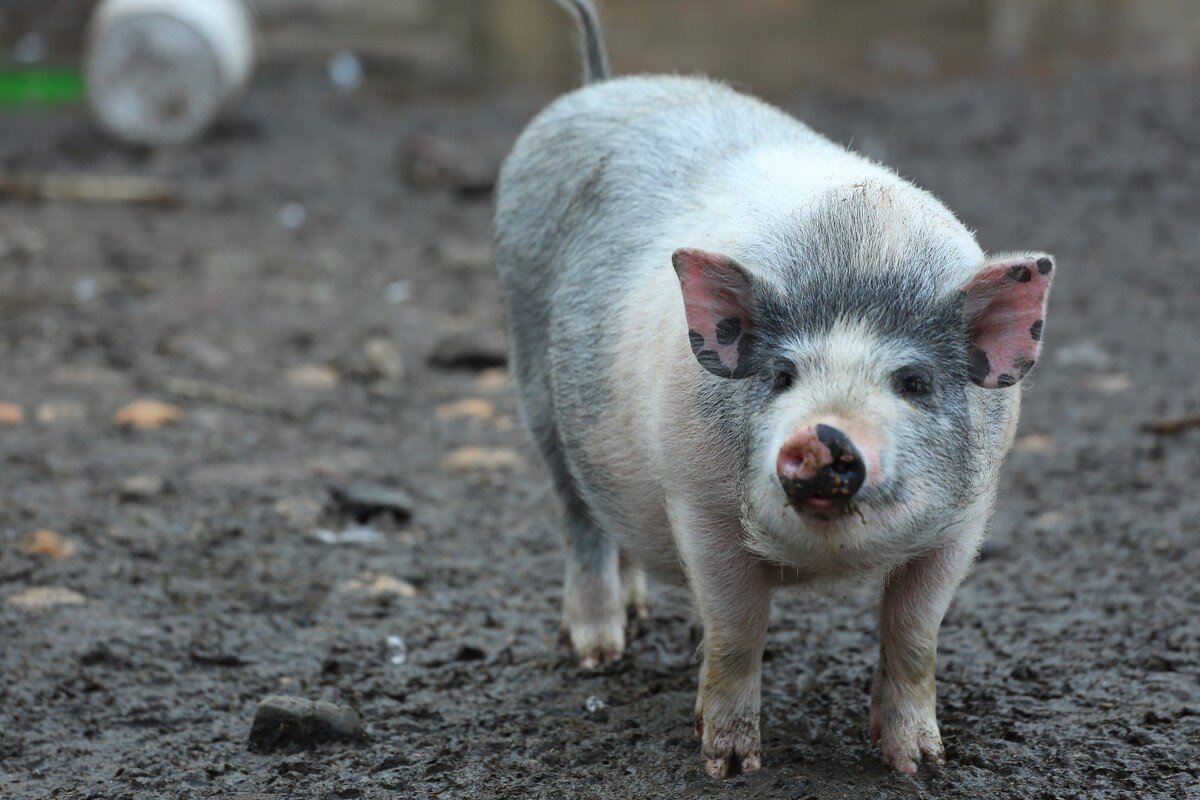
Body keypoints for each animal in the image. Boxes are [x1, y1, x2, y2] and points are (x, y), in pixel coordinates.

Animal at [492, 0, 1056, 777]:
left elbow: (914, 633)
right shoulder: (698, 504)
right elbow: (736, 631)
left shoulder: (967, 517)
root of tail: (599, 85)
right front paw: (729, 767)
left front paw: (918, 764)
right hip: (531, 377)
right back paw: (598, 654)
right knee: (577, 515)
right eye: (783, 374)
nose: (822, 435)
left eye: (914, 380)